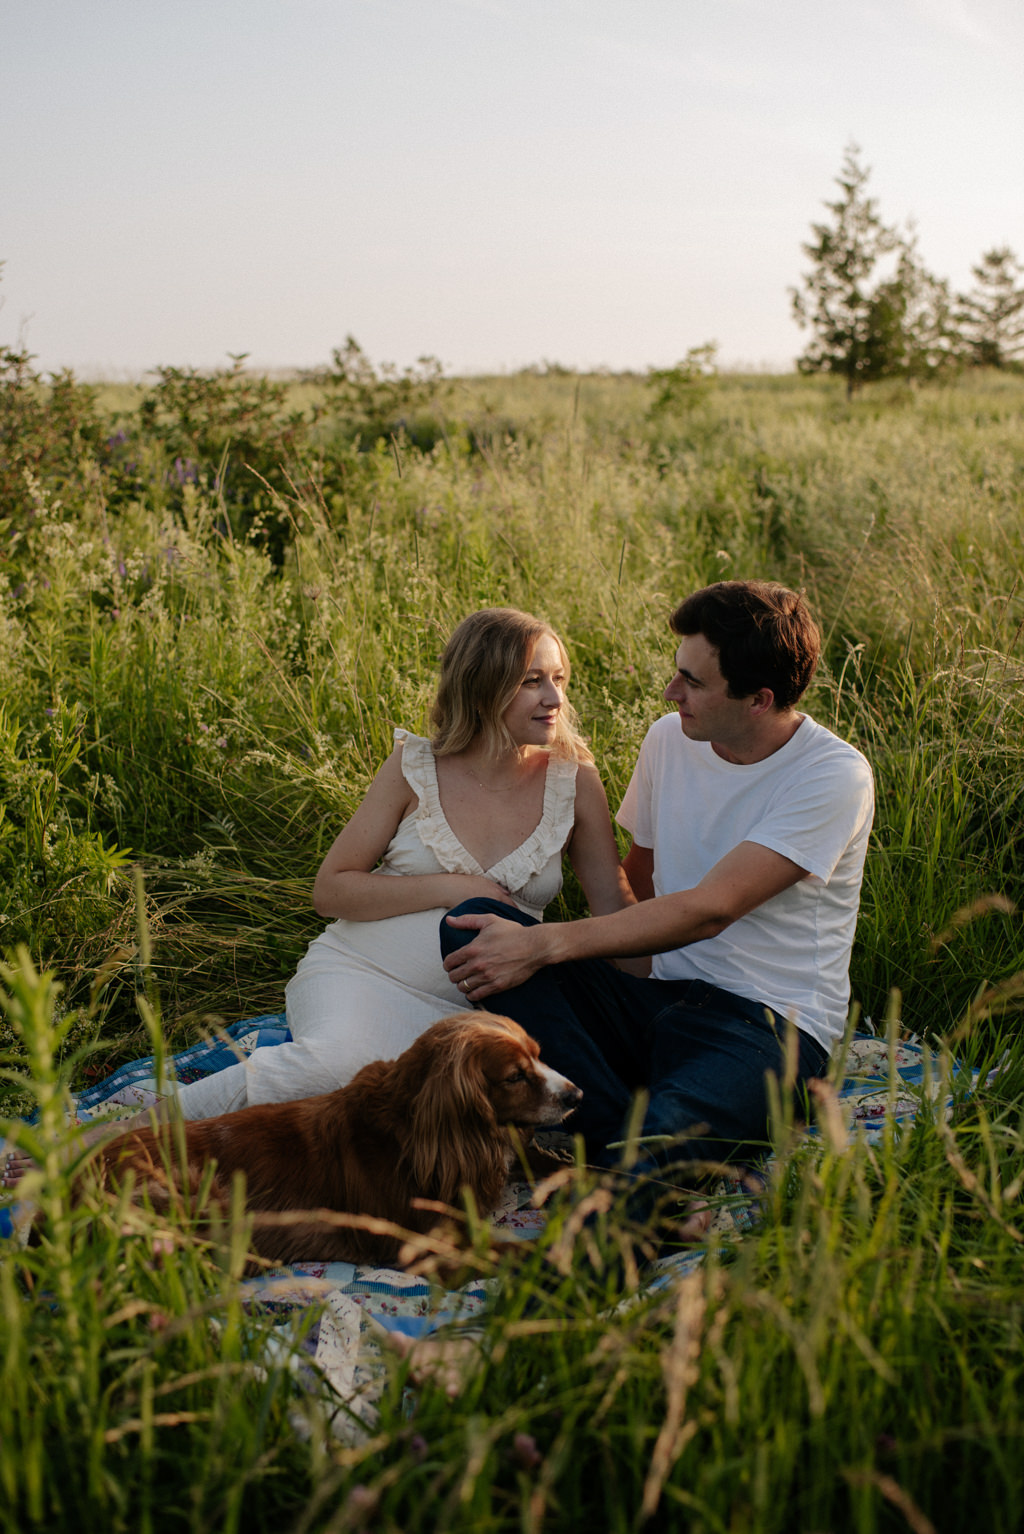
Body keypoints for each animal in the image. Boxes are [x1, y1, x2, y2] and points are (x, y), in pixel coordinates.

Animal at [75, 1006, 579, 1270]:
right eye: (514, 1076)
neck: (408, 1134)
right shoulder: (420, 1243)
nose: (577, 1094)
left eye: (540, 1056)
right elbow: (518, 1250)